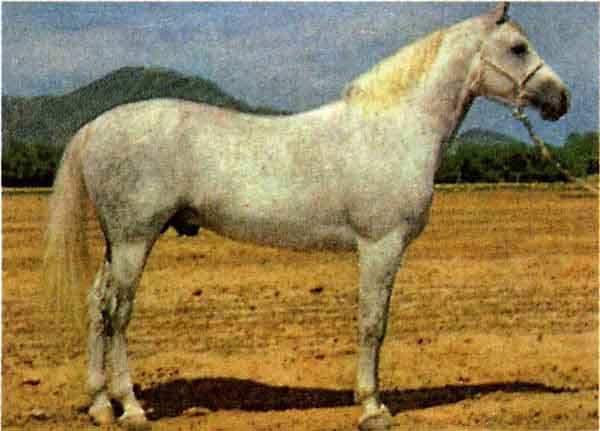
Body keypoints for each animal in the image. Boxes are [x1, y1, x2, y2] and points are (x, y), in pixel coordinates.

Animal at [44, 3, 569, 430]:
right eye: (518, 47)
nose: (561, 99)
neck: (395, 129)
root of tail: (95, 127)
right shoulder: (380, 246)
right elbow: (373, 323)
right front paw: (373, 408)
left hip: (117, 244)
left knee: (96, 305)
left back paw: (100, 405)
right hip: (134, 240)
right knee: (118, 314)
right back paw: (131, 408)